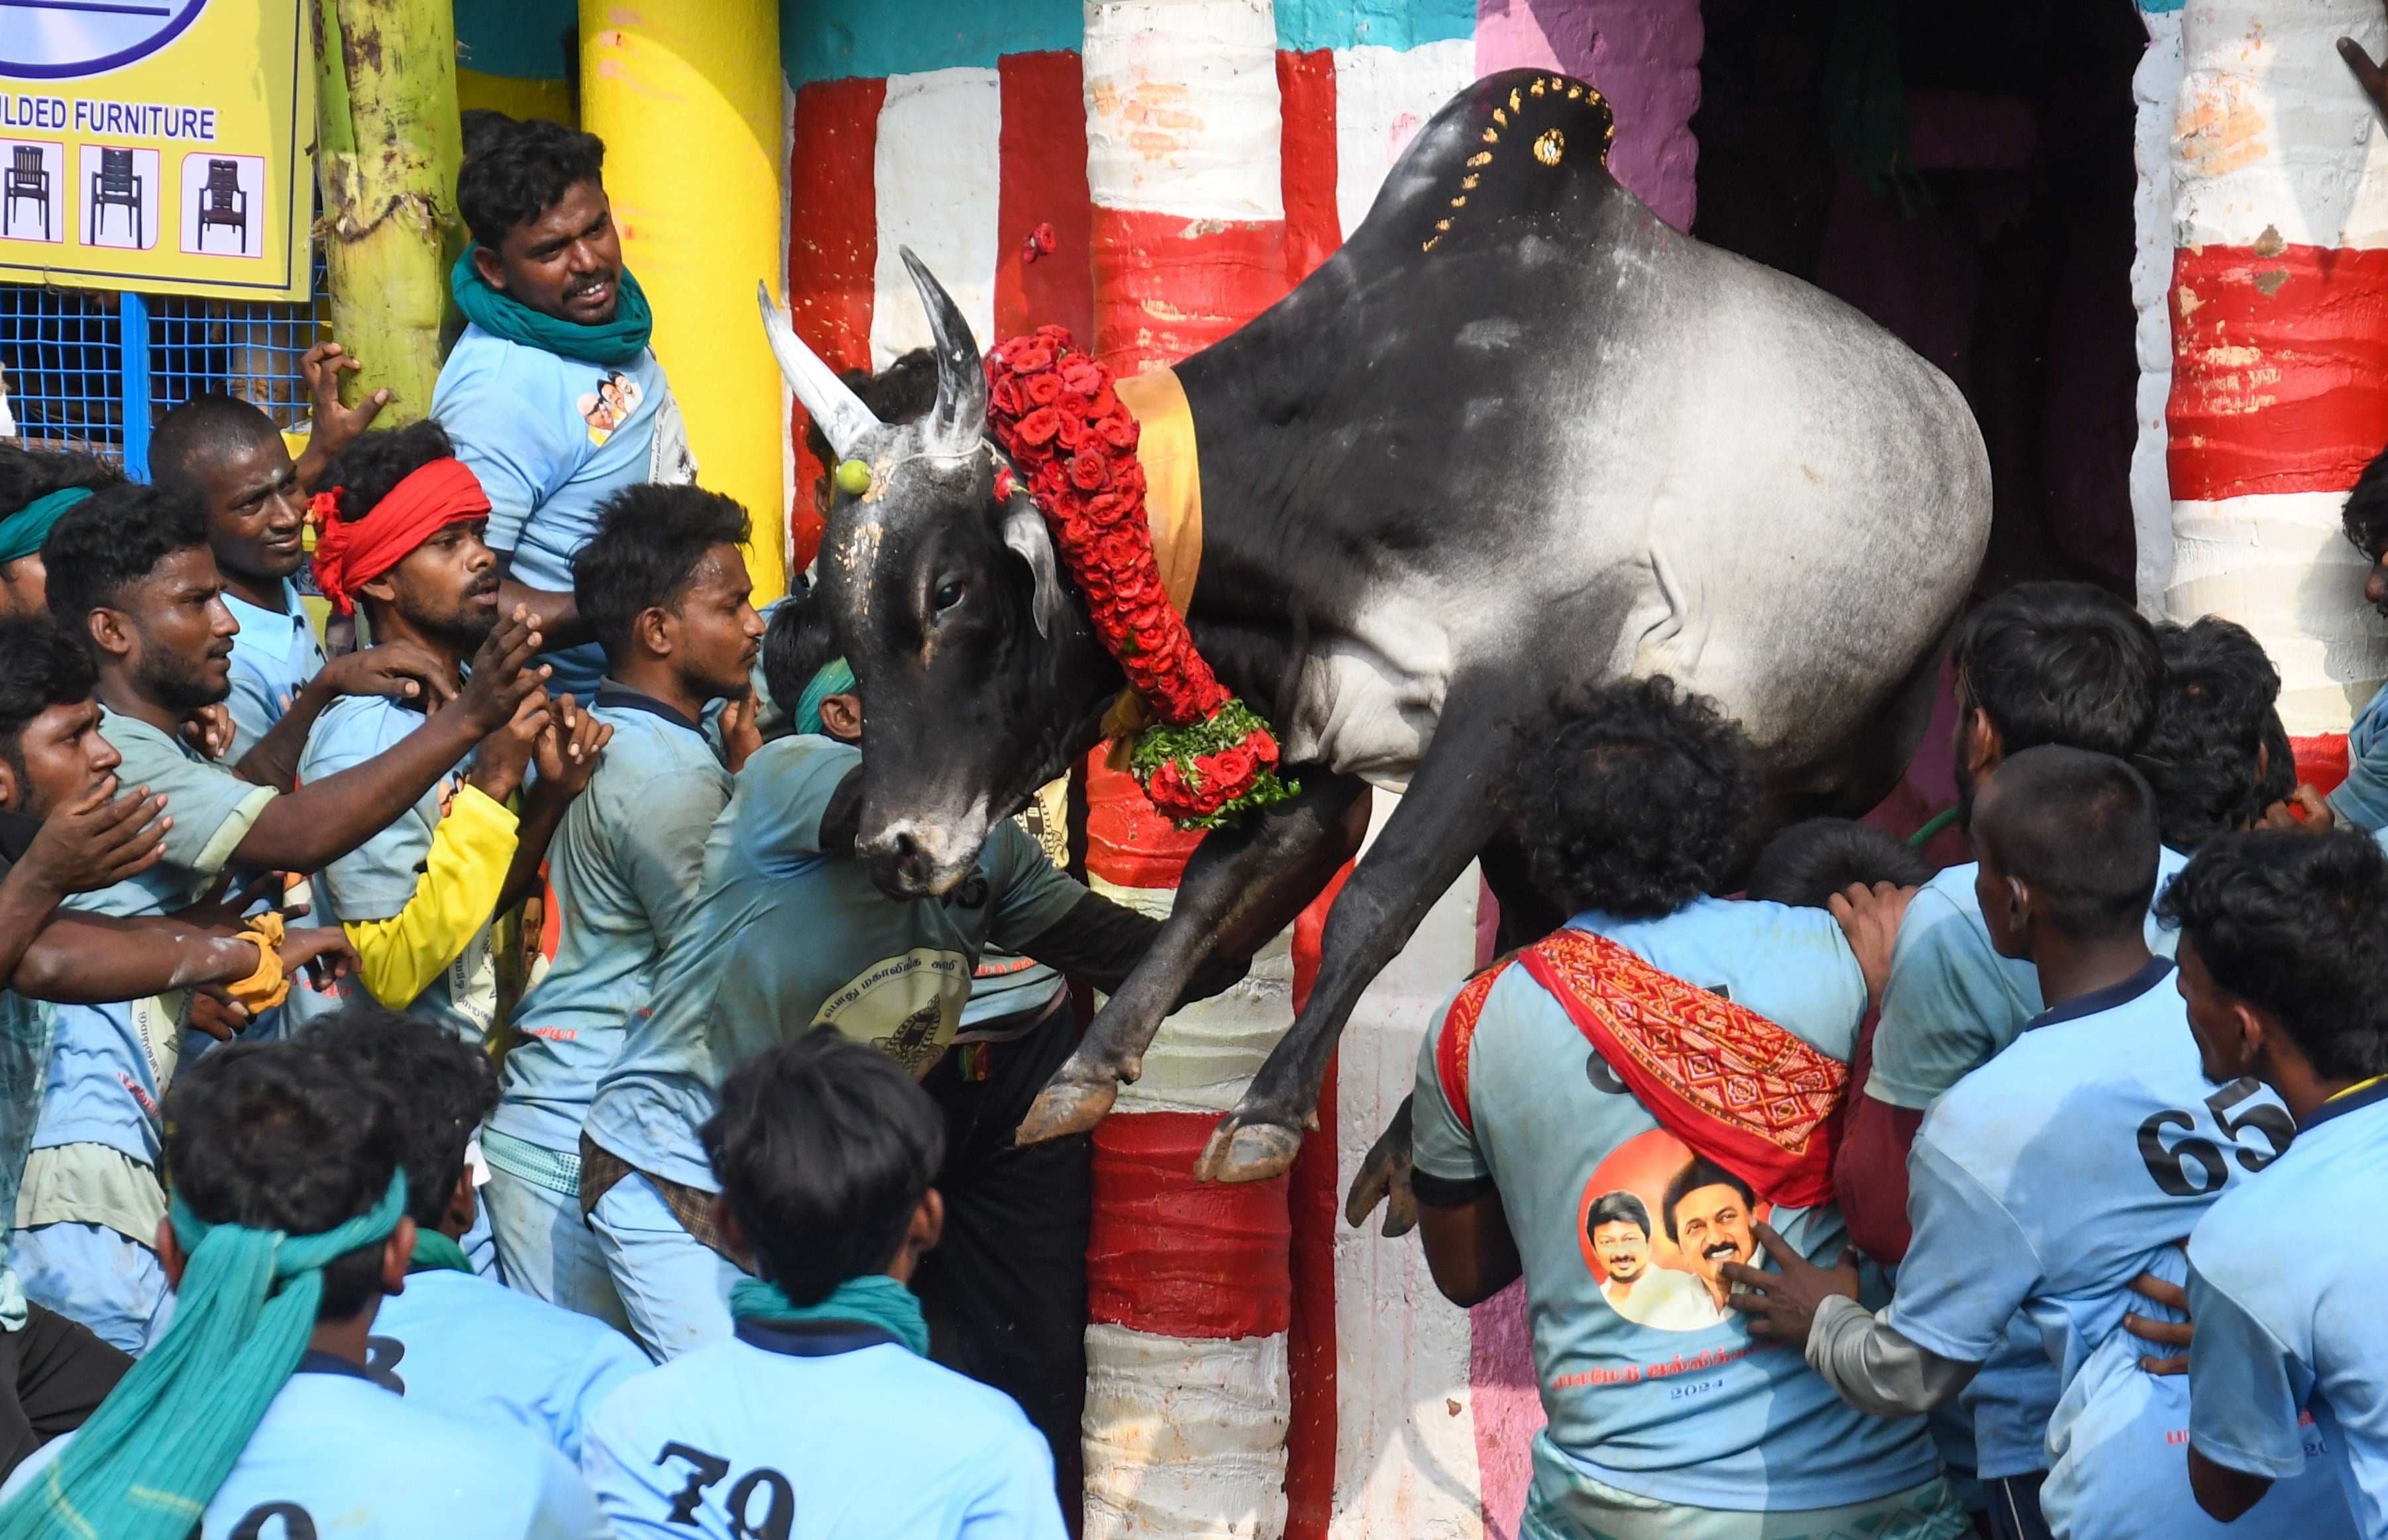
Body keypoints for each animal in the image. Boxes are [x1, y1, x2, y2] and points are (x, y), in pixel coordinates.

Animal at [764, 69, 1996, 1179]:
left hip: (1795, 776)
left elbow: (1376, 897)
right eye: (837, 604)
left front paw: (1266, 1113)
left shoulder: (1513, 694)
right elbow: (1218, 884)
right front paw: (1089, 1068)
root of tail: (1956, 428)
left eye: (949, 591)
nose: (894, 847)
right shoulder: (1312, 730)